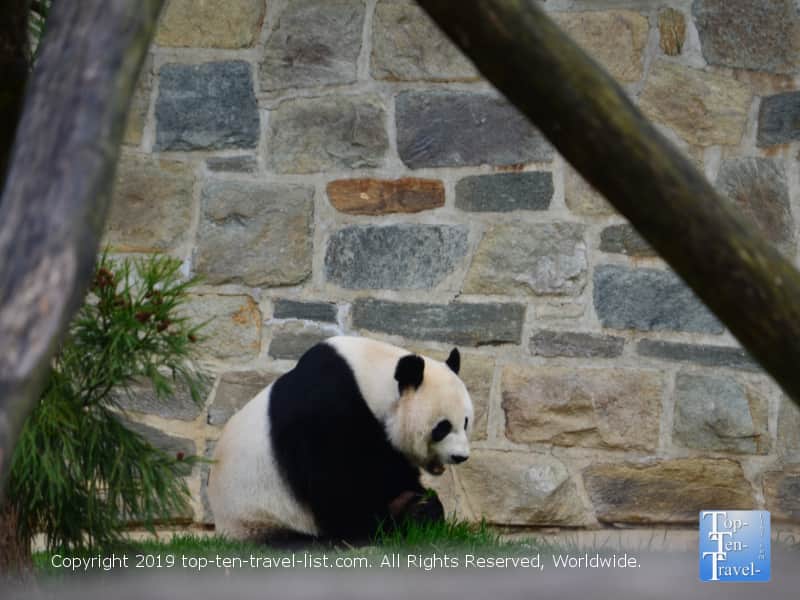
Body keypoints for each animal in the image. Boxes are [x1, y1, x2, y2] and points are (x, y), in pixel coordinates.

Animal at [207, 335, 473, 544]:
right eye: (442, 427)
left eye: (466, 422)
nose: (460, 456)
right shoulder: (326, 414)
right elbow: (336, 489)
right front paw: (401, 517)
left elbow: (392, 472)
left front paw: (423, 505)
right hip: (259, 518)